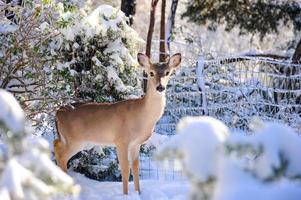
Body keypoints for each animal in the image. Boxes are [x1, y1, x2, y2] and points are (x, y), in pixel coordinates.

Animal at [52, 52, 180, 195]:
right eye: (151, 73)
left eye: (168, 72)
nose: (160, 87)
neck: (142, 115)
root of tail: (58, 112)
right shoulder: (121, 140)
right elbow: (125, 169)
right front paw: (125, 194)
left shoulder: (136, 143)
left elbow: (135, 168)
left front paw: (138, 193)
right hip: (74, 140)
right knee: (61, 154)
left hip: (79, 141)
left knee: (56, 145)